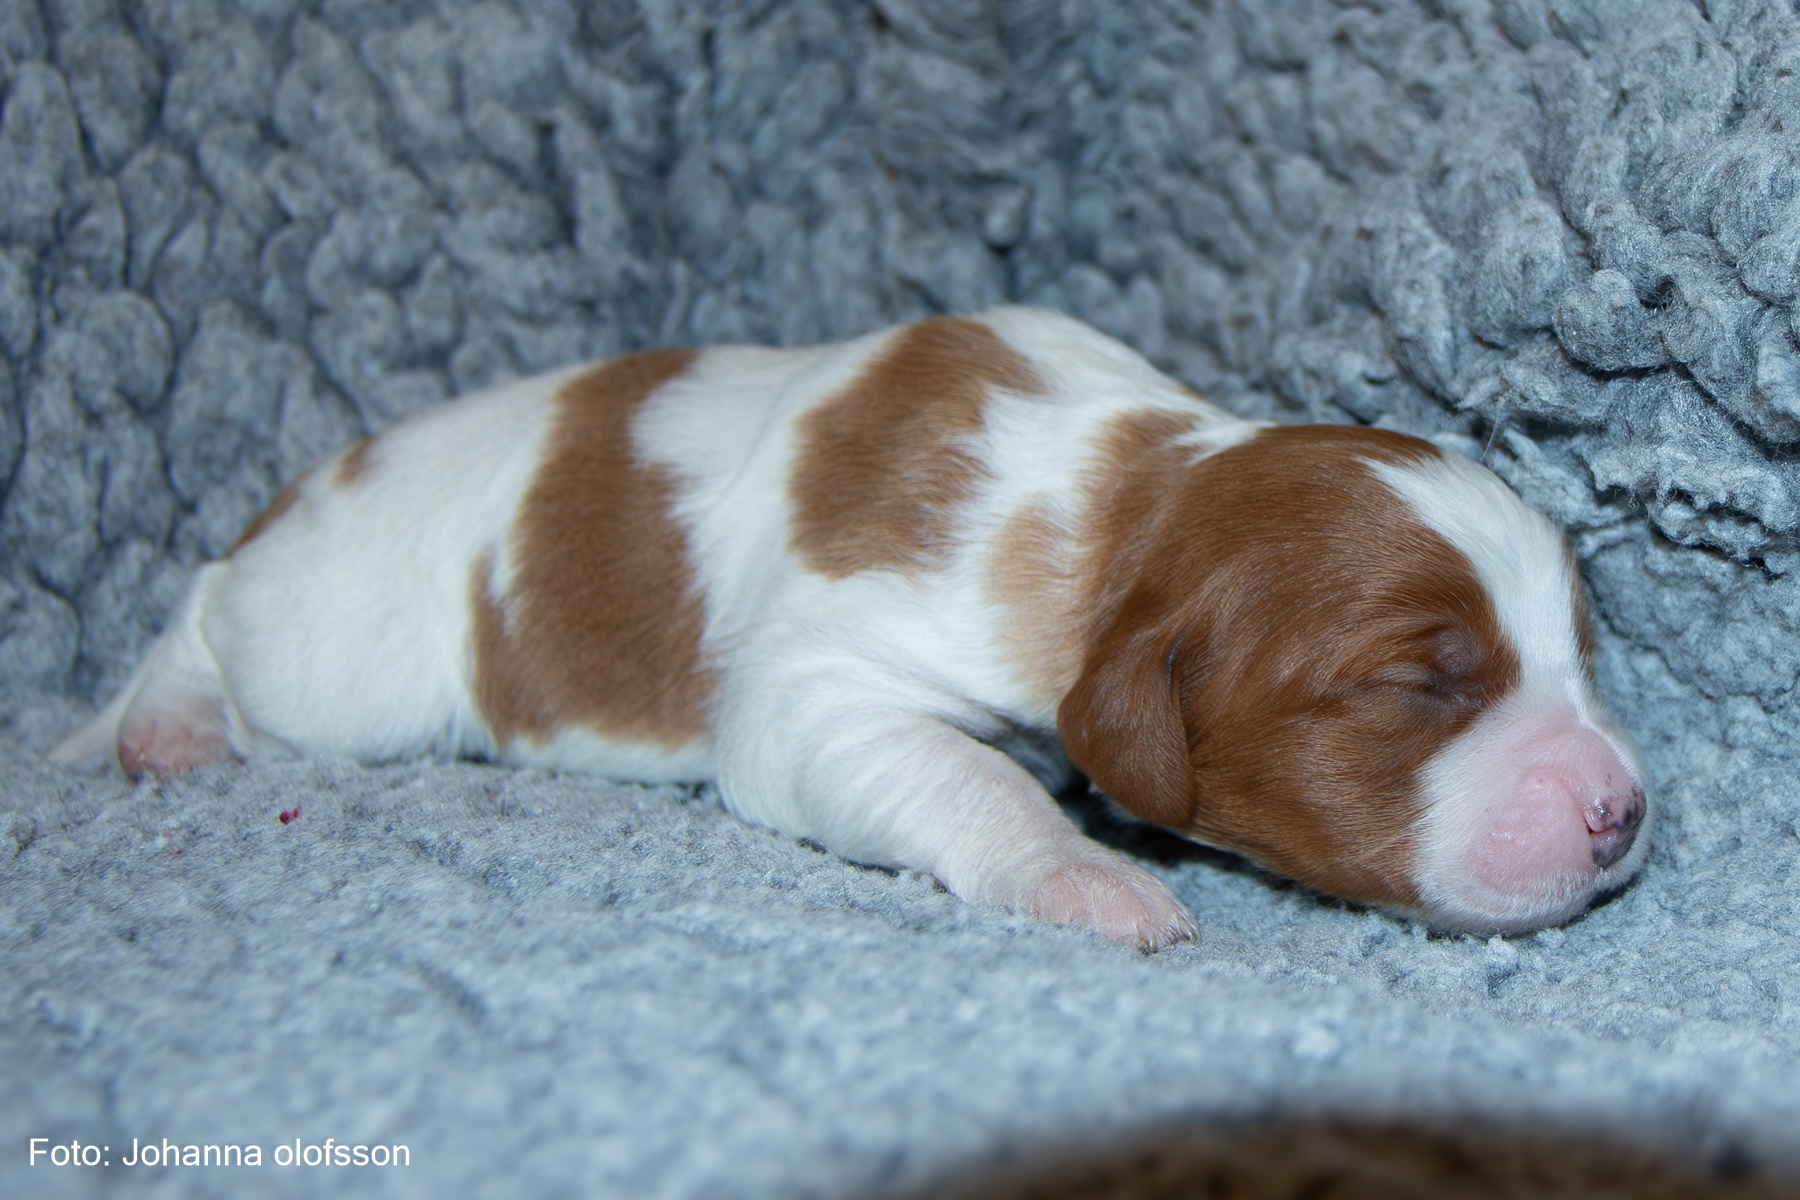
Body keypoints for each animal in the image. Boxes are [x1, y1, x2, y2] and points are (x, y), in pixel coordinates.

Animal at [52, 307, 1650, 947]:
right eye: (1417, 686)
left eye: (1581, 654)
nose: (1624, 813)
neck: (1126, 497)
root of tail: (316, 483)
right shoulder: (820, 685)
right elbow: (969, 774)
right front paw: (1086, 878)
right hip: (340, 654)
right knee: (205, 604)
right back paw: (163, 721)